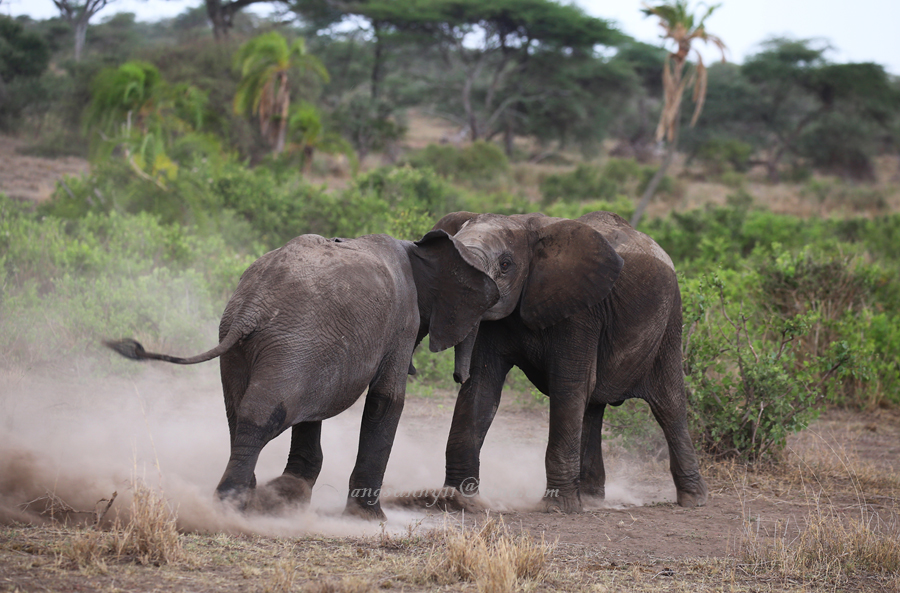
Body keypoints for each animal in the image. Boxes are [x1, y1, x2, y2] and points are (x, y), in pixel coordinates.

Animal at [106, 231, 502, 520]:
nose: (459, 376)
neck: (415, 248)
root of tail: (251, 307)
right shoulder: (401, 324)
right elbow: (387, 400)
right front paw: (369, 520)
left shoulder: (320, 354)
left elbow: (315, 408)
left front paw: (295, 496)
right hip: (288, 340)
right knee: (261, 416)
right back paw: (231, 505)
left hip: (250, 344)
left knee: (241, 411)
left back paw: (247, 499)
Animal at [436, 210, 712, 512]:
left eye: (505, 265)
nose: (456, 376)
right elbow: (482, 387)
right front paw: (457, 500)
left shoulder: (581, 312)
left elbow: (567, 386)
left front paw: (557, 508)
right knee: (592, 406)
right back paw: (591, 498)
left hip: (670, 320)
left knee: (669, 406)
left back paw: (694, 499)